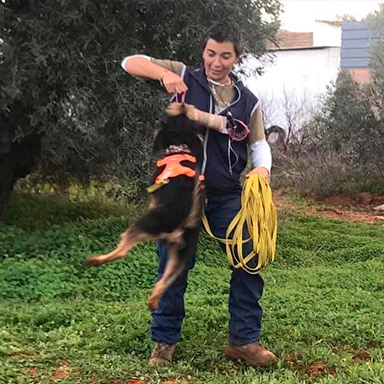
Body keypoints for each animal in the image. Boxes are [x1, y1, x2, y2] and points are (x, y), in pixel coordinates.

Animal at [84, 108, 204, 312]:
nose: (181, 107)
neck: (179, 147)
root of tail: (182, 224)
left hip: (145, 224)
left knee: (122, 250)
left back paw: (95, 260)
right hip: (180, 256)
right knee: (164, 281)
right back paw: (153, 301)